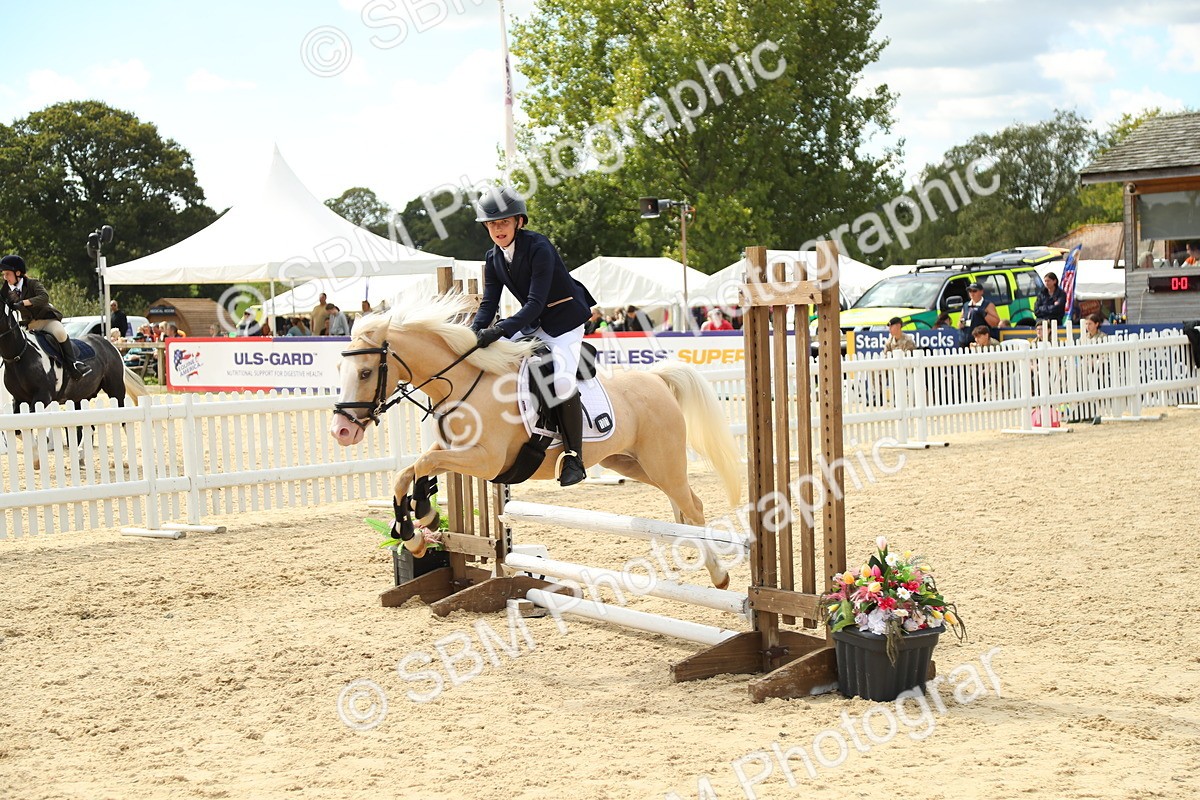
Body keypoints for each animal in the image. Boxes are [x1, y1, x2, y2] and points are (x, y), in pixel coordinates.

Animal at [0, 303, 149, 462]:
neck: (19, 355)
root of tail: (108, 344)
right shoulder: (19, 399)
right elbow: (18, 429)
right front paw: (36, 458)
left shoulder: (42, 397)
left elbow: (25, 425)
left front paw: (36, 460)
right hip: (80, 397)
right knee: (89, 426)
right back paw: (80, 454)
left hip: (116, 390)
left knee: (125, 419)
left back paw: (127, 459)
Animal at [328, 292, 744, 589]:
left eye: (366, 372)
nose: (341, 432)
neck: (464, 383)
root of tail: (657, 378)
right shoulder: (454, 450)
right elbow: (408, 472)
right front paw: (414, 533)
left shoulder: (486, 461)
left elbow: (423, 466)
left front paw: (423, 516)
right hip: (632, 463)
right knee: (682, 506)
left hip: (663, 462)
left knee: (693, 506)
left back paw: (720, 576)